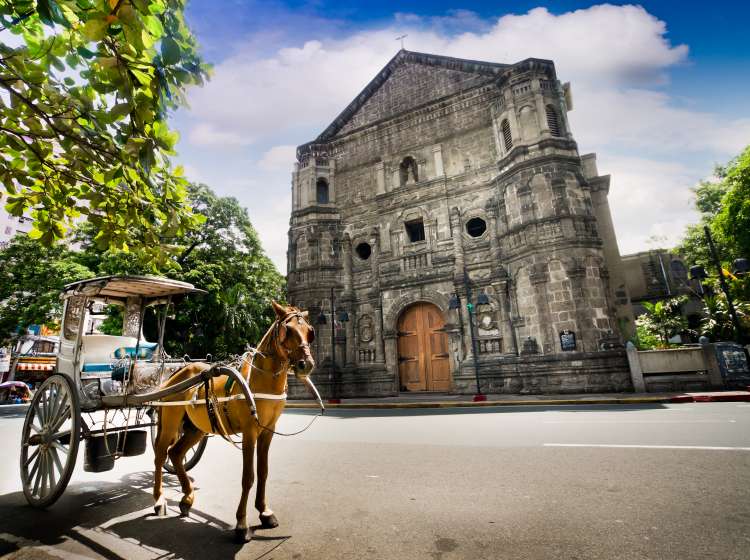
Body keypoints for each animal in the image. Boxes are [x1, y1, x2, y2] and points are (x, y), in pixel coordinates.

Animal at [153, 302, 318, 544]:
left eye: (309, 331)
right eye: (287, 330)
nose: (306, 365)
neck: (262, 380)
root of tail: (177, 373)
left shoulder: (268, 431)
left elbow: (263, 471)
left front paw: (264, 512)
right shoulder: (250, 431)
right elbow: (248, 476)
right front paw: (241, 524)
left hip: (196, 428)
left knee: (175, 453)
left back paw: (187, 498)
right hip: (170, 420)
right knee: (160, 454)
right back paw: (158, 499)